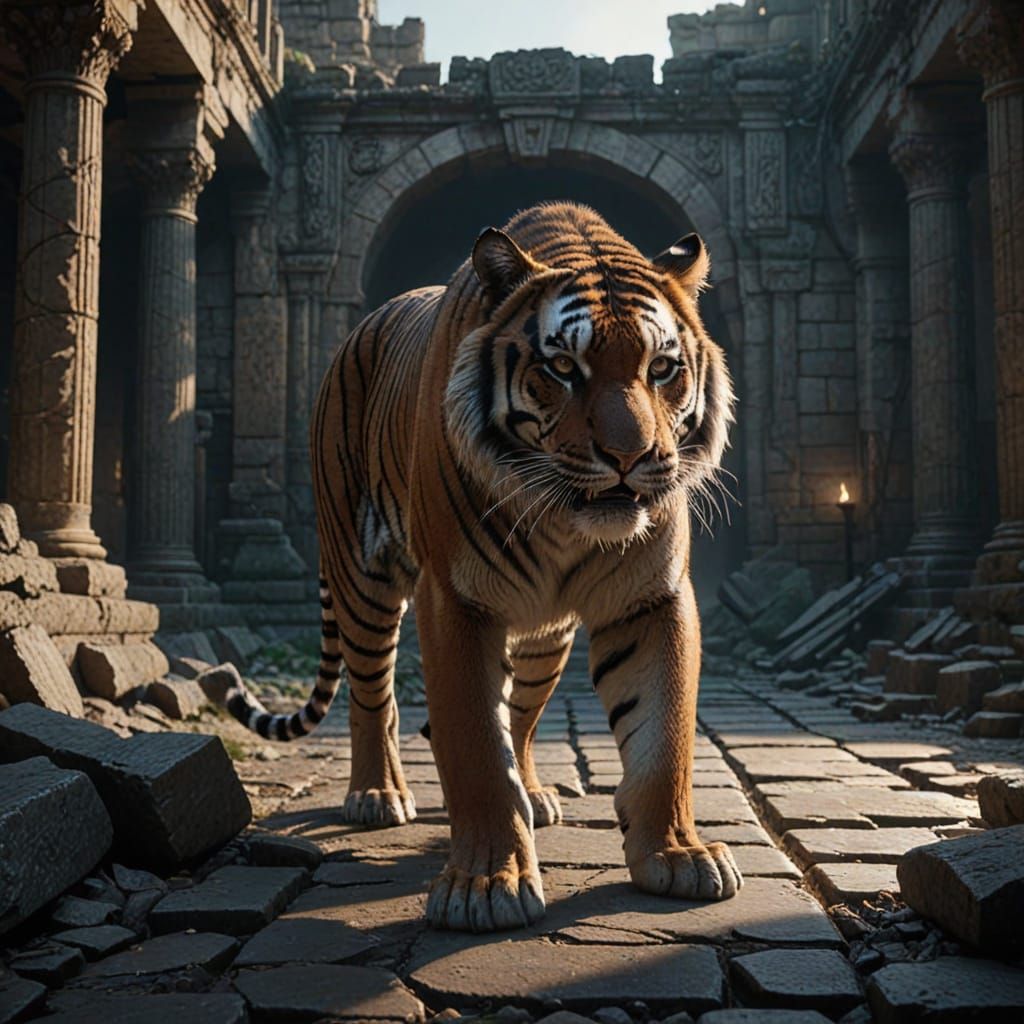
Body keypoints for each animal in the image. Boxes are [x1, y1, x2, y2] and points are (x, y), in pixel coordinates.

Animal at [217, 201, 740, 932]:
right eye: (563, 367)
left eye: (661, 368)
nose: (630, 457)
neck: (562, 521)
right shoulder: (456, 602)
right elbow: (475, 747)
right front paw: (487, 886)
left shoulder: (651, 598)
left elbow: (662, 737)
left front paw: (678, 854)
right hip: (362, 580)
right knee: (373, 696)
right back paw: (376, 795)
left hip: (547, 637)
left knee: (520, 715)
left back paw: (535, 794)